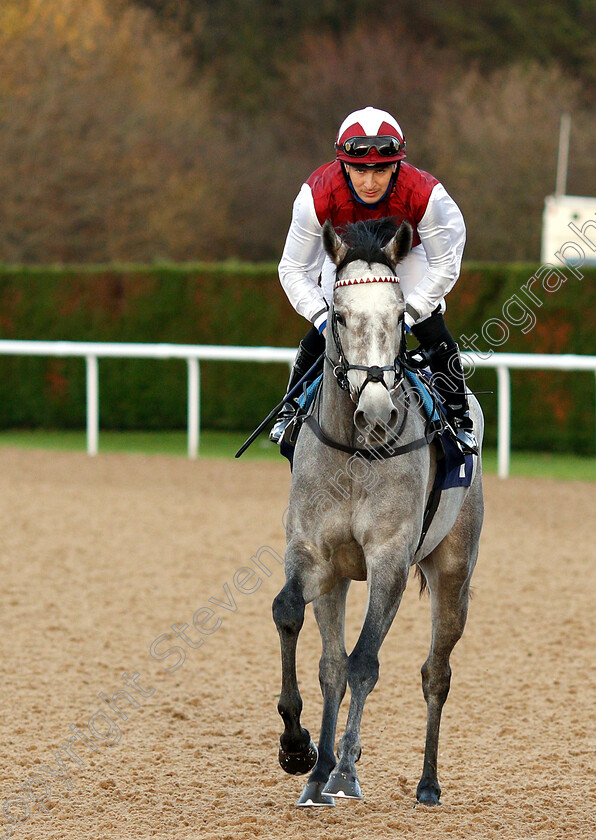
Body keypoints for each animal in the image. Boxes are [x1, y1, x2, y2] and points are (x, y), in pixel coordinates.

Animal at [274, 217, 484, 808]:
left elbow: (365, 663)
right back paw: (319, 770)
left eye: (398, 316)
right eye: (341, 316)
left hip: (454, 572)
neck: (355, 452)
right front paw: (299, 748)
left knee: (436, 673)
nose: (375, 409)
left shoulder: (390, 558)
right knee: (331, 665)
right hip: (341, 578)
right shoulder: (312, 553)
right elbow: (291, 616)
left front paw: (345, 769)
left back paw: (426, 783)